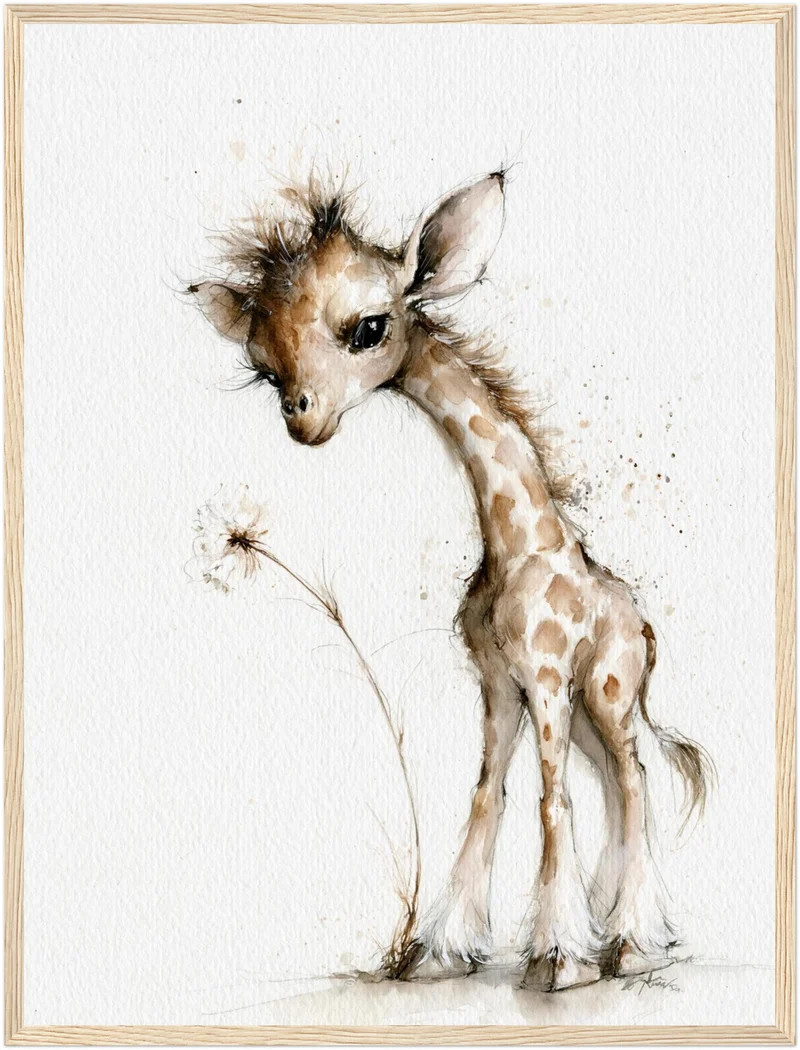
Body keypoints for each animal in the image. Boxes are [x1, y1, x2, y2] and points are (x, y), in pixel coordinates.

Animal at [190, 172, 713, 992]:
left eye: (369, 328)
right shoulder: (499, 684)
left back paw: (631, 945)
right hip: (587, 708)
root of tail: (645, 626)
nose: (302, 420)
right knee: (614, 782)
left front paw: (557, 961)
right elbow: (487, 796)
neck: (514, 545)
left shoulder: (544, 675)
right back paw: (620, 935)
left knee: (632, 781)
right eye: (262, 366)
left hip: (608, 690)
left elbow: (551, 801)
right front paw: (443, 952)